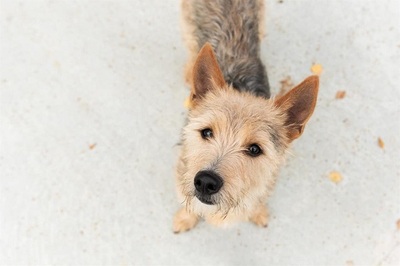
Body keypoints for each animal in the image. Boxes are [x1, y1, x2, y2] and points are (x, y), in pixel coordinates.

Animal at [173, 0, 320, 233]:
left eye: (254, 149)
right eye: (206, 132)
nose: (206, 182)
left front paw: (258, 212)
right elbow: (187, 204)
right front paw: (185, 218)